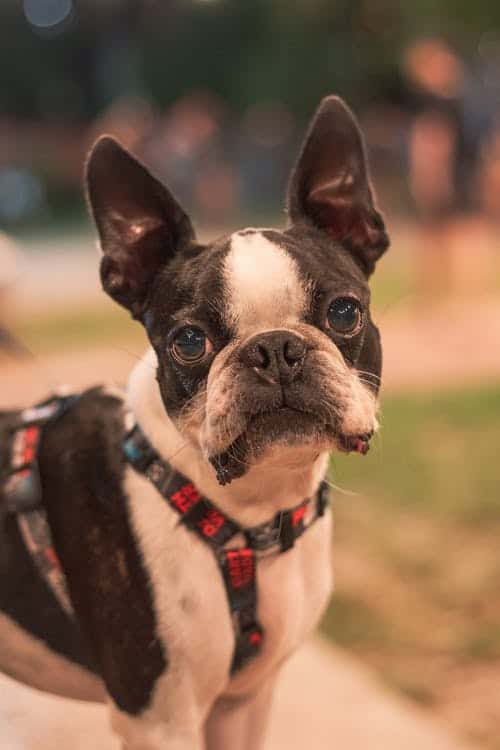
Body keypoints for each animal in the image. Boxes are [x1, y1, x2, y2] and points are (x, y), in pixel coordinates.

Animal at [0, 97, 390, 748]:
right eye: (188, 342)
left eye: (344, 312)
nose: (275, 348)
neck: (251, 517)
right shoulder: (162, 719)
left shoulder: (244, 703)